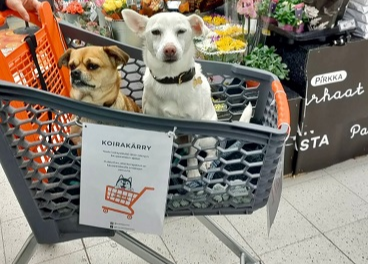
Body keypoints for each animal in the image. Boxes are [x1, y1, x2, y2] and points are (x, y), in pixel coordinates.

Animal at [122, 9, 252, 177]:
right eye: (155, 32)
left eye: (181, 31)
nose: (170, 49)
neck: (171, 79)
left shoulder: (193, 131)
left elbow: (192, 154)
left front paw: (192, 174)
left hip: (206, 137)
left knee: (213, 151)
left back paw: (207, 163)